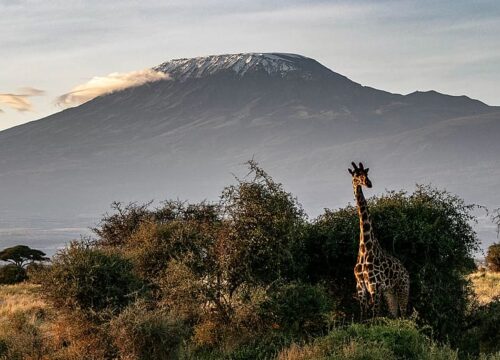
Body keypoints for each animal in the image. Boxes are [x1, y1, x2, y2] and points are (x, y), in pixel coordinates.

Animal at [348, 162, 410, 316]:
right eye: (356, 175)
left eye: (366, 174)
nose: (368, 183)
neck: (365, 248)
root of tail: (406, 271)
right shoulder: (360, 286)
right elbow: (363, 317)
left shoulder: (374, 285)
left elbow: (375, 316)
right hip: (390, 293)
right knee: (395, 315)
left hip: (403, 289)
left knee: (405, 315)